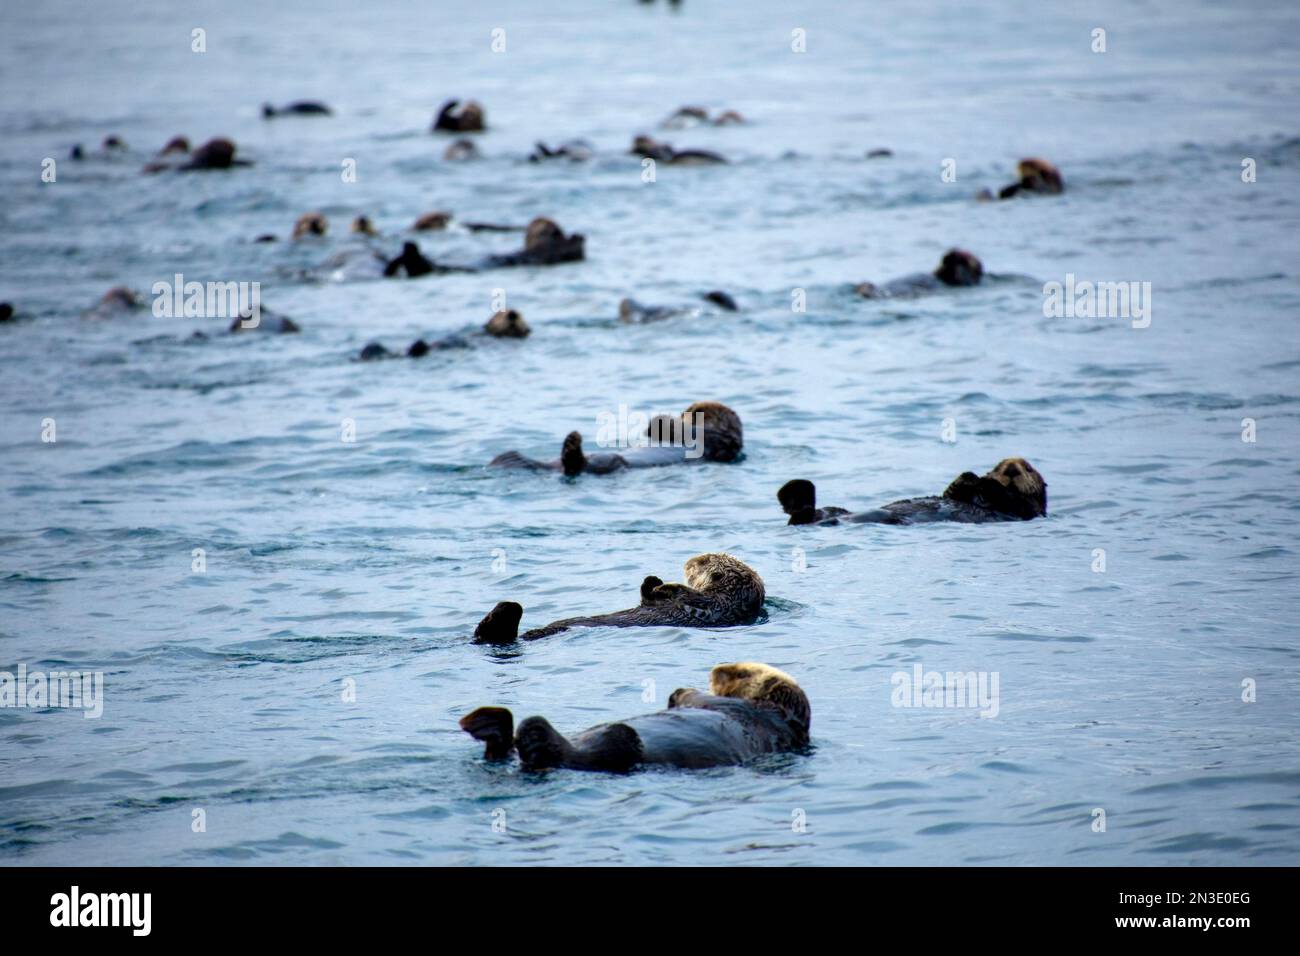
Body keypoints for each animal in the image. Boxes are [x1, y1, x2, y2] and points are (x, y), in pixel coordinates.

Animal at [461, 661, 808, 772]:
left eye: (742, 672)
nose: (715, 670)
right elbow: (683, 695)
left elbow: (700, 697)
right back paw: (486, 722)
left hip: (617, 745)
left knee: (549, 750)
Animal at [471, 553, 765, 644]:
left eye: (703, 562)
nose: (688, 560)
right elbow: (647, 599)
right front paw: (652, 581)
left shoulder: (710, 606)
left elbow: (684, 594)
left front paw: (666, 585)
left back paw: (507, 609)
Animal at [778, 458, 1048, 526]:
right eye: (999, 466)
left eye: (1028, 468)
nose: (1011, 468)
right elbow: (951, 493)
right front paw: (966, 479)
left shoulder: (1023, 509)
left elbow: (1009, 498)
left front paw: (979, 480)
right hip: (832, 510)